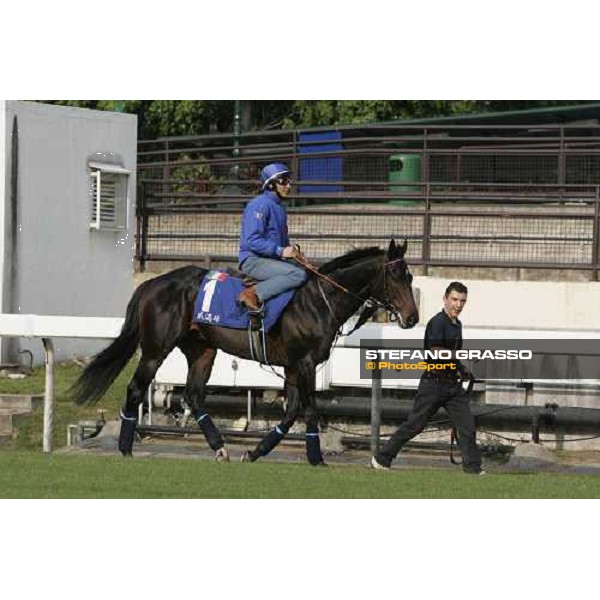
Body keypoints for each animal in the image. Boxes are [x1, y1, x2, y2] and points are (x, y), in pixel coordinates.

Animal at [72, 239, 420, 464]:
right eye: (395, 275)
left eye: (410, 276)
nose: (413, 318)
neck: (319, 300)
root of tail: (150, 284)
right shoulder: (304, 363)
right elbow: (309, 411)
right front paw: (316, 458)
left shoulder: (293, 366)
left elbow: (292, 412)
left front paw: (255, 452)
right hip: (156, 350)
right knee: (135, 389)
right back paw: (125, 448)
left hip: (202, 350)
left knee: (194, 395)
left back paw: (219, 448)